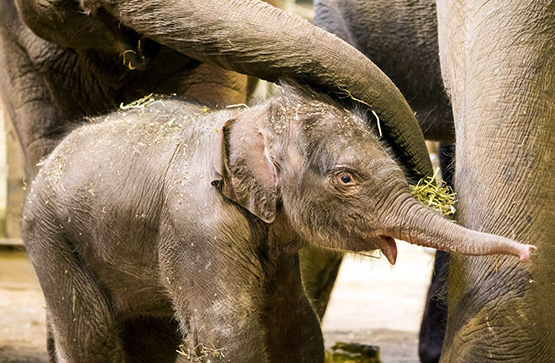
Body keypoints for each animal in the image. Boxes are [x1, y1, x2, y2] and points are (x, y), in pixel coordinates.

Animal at [23, 86, 536, 362]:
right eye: (346, 178)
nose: (529, 252)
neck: (255, 120)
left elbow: (296, 323)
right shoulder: (198, 226)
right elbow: (228, 334)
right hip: (50, 235)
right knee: (90, 334)